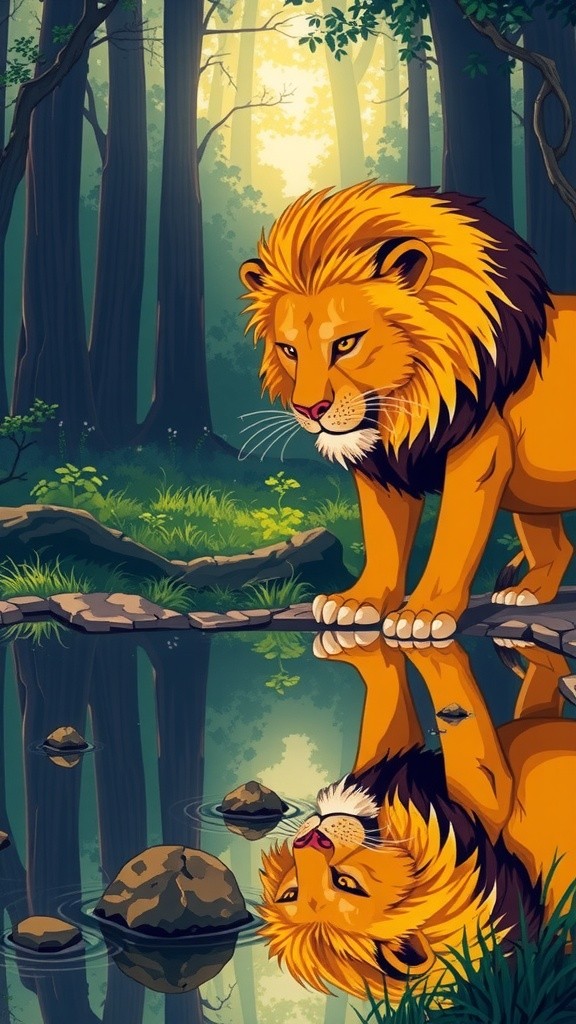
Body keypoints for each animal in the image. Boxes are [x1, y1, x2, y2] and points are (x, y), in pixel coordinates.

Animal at [239, 183, 576, 640]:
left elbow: (453, 540)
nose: (310, 408)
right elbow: (384, 540)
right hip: (533, 497)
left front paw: (425, 614)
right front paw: (358, 603)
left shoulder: (479, 455)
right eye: (289, 350)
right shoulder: (381, 468)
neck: (407, 404)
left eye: (346, 343)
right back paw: (527, 593)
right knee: (559, 547)